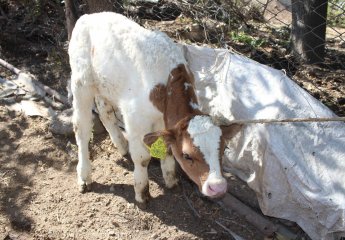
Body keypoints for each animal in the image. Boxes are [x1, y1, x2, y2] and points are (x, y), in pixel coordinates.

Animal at [69, 12, 242, 204]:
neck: (168, 84)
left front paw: (170, 179)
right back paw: (84, 176)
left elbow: (166, 148)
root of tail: (89, 16)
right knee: (82, 129)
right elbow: (142, 157)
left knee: (105, 113)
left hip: (105, 85)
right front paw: (142, 192)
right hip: (82, 81)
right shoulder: (135, 118)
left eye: (223, 150)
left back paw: (121, 145)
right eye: (187, 155)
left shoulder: (165, 121)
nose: (217, 187)